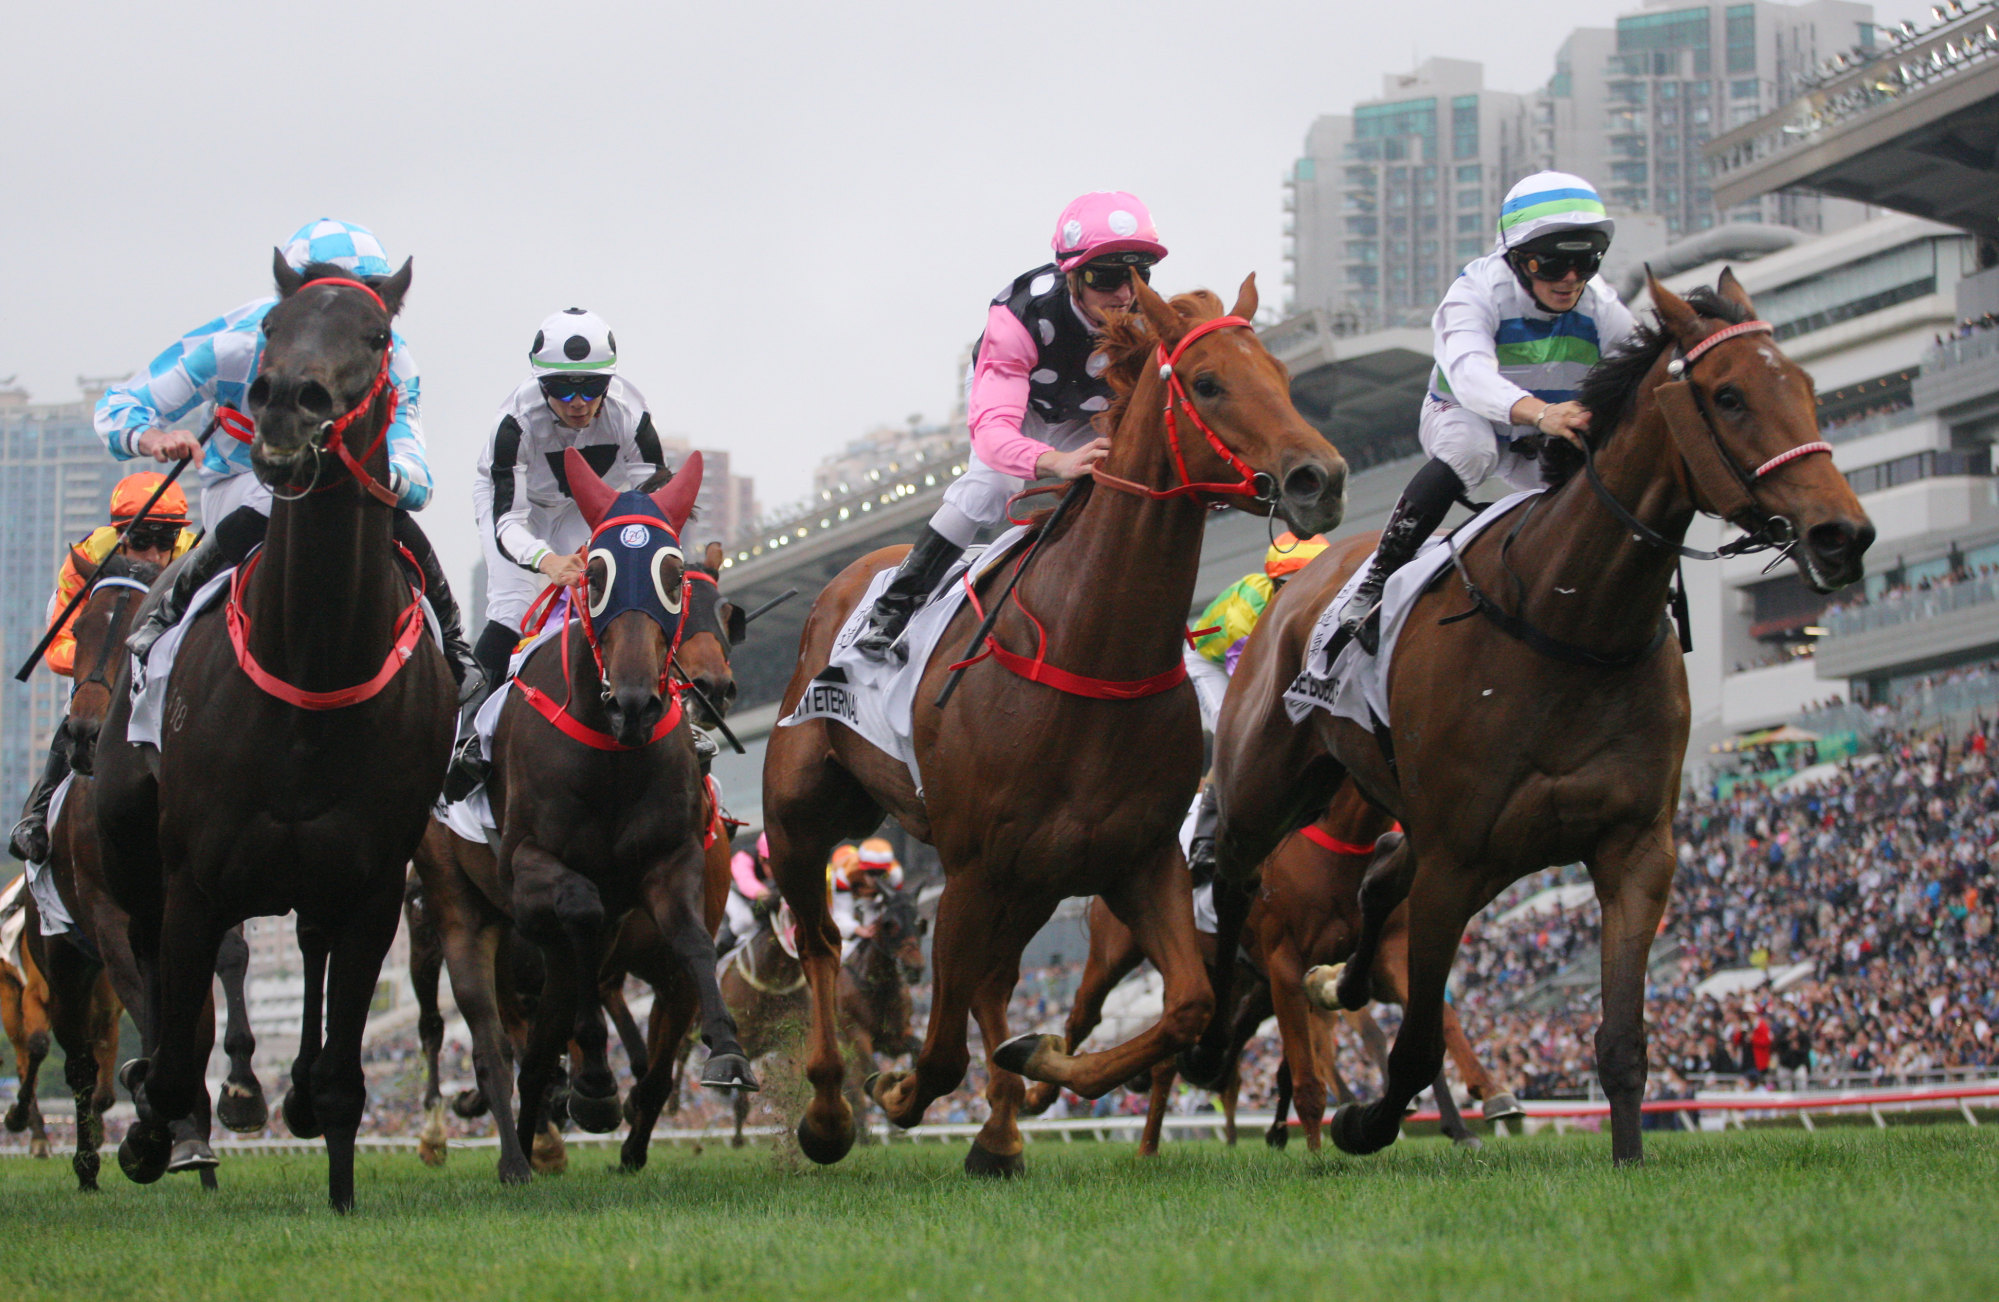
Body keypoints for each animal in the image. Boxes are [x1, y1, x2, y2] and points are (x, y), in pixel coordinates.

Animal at [98, 258, 457, 1216]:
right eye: (270, 326)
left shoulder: (374, 887)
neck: (315, 670)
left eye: (376, 334)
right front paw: (151, 1132)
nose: (288, 407)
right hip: (131, 849)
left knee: (306, 955)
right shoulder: (192, 878)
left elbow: (343, 1076)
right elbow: (173, 1060)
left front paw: (337, 1185)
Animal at [755, 280, 1351, 1176]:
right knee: (821, 942)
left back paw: (999, 1131)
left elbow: (1183, 1007)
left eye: (1280, 374)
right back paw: (828, 1112)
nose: (1321, 477)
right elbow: (939, 1051)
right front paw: (899, 1091)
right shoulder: (967, 870)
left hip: (1032, 880)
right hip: (801, 815)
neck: (1090, 650)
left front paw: (1035, 1068)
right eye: (1207, 382)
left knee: (993, 985)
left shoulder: (1138, 860)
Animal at [1183, 272, 1871, 1160]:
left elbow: (1621, 1040)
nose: (1842, 534)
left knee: (1375, 884)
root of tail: (1296, 584)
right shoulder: (1456, 861)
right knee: (1234, 880)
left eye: (1809, 388)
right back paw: (1206, 1046)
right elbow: (1415, 1047)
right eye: (1729, 395)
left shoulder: (1634, 848)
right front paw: (1364, 1119)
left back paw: (1336, 983)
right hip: (1267, 785)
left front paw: (1626, 1159)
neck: (1570, 619)